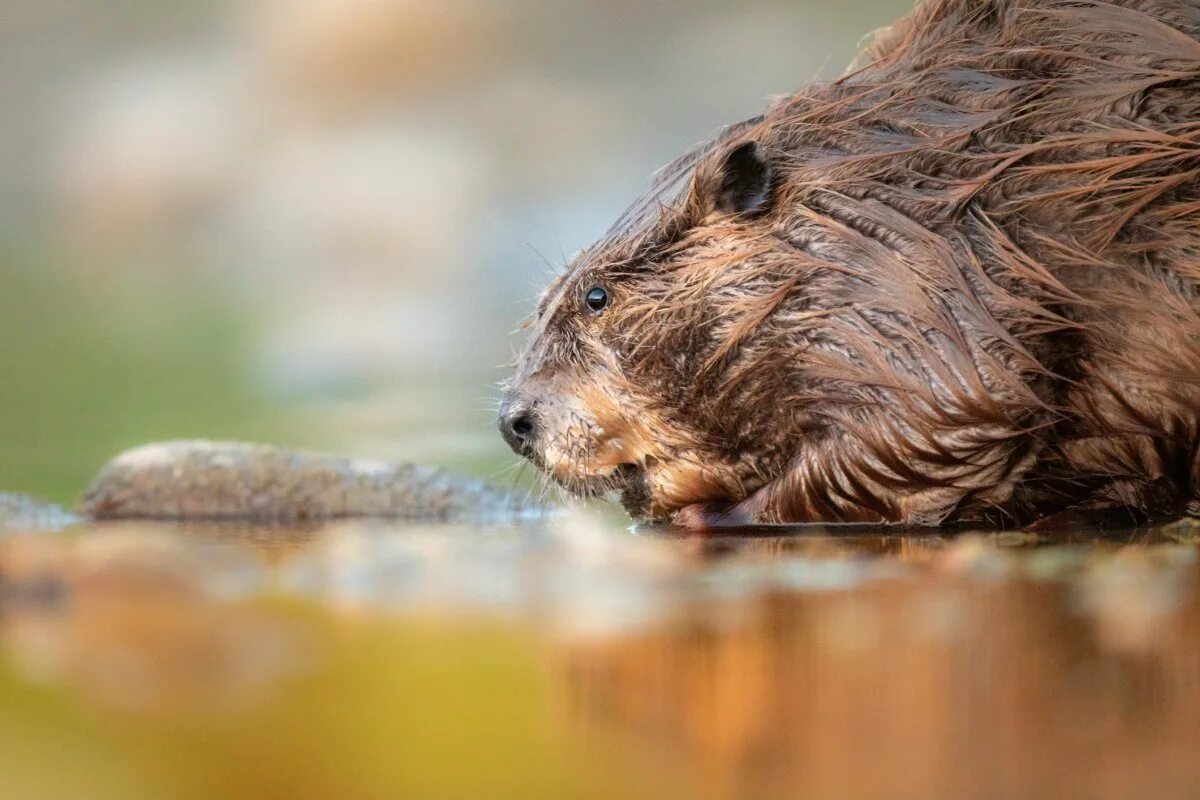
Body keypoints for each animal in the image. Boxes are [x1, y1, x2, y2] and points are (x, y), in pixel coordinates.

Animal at [496, 0, 1200, 532]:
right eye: (546, 302)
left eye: (596, 297)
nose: (514, 421)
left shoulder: (922, 301)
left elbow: (954, 414)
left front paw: (709, 518)